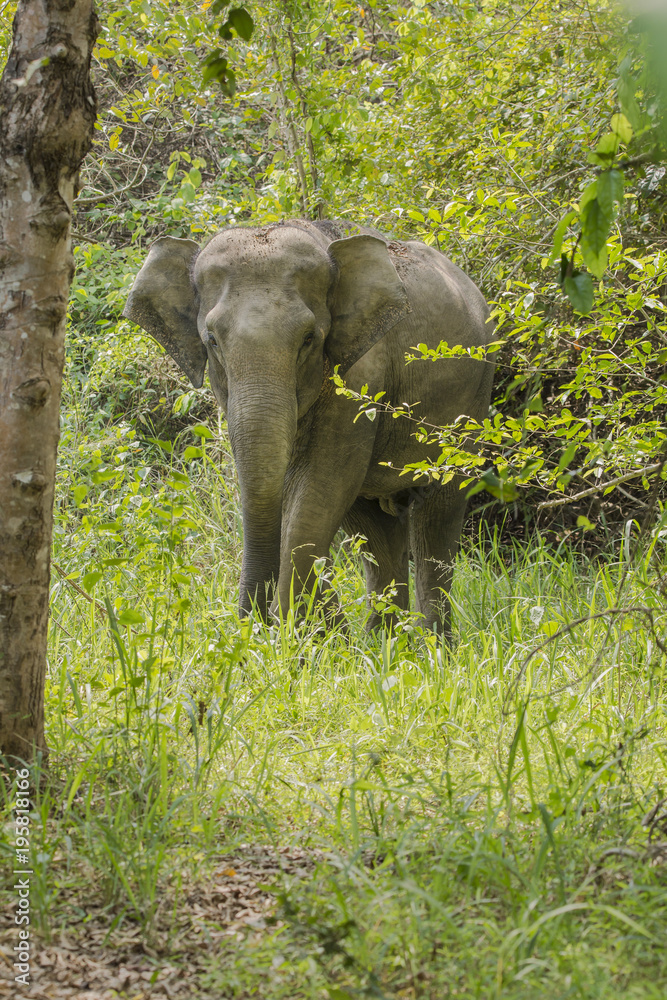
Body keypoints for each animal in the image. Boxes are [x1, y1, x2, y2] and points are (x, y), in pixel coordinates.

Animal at [123, 220, 494, 633]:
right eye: (212, 340)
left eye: (308, 338)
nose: (252, 625)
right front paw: (317, 632)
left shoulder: (361, 376)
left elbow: (318, 489)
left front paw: (296, 635)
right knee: (375, 530)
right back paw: (385, 642)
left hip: (473, 400)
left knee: (437, 517)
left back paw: (431, 645)